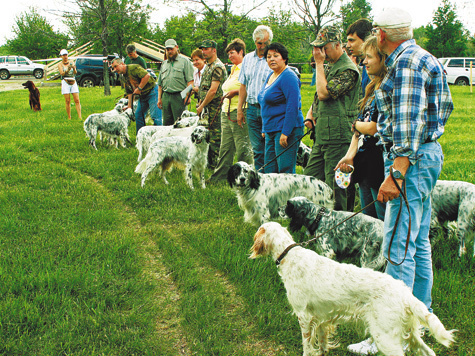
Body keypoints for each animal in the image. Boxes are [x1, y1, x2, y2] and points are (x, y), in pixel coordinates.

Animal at [251, 222, 456, 356]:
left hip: (386, 338)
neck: (291, 255)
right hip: (411, 334)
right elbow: (322, 343)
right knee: (429, 352)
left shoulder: (304, 316)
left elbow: (307, 346)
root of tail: (405, 293)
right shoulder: (322, 317)